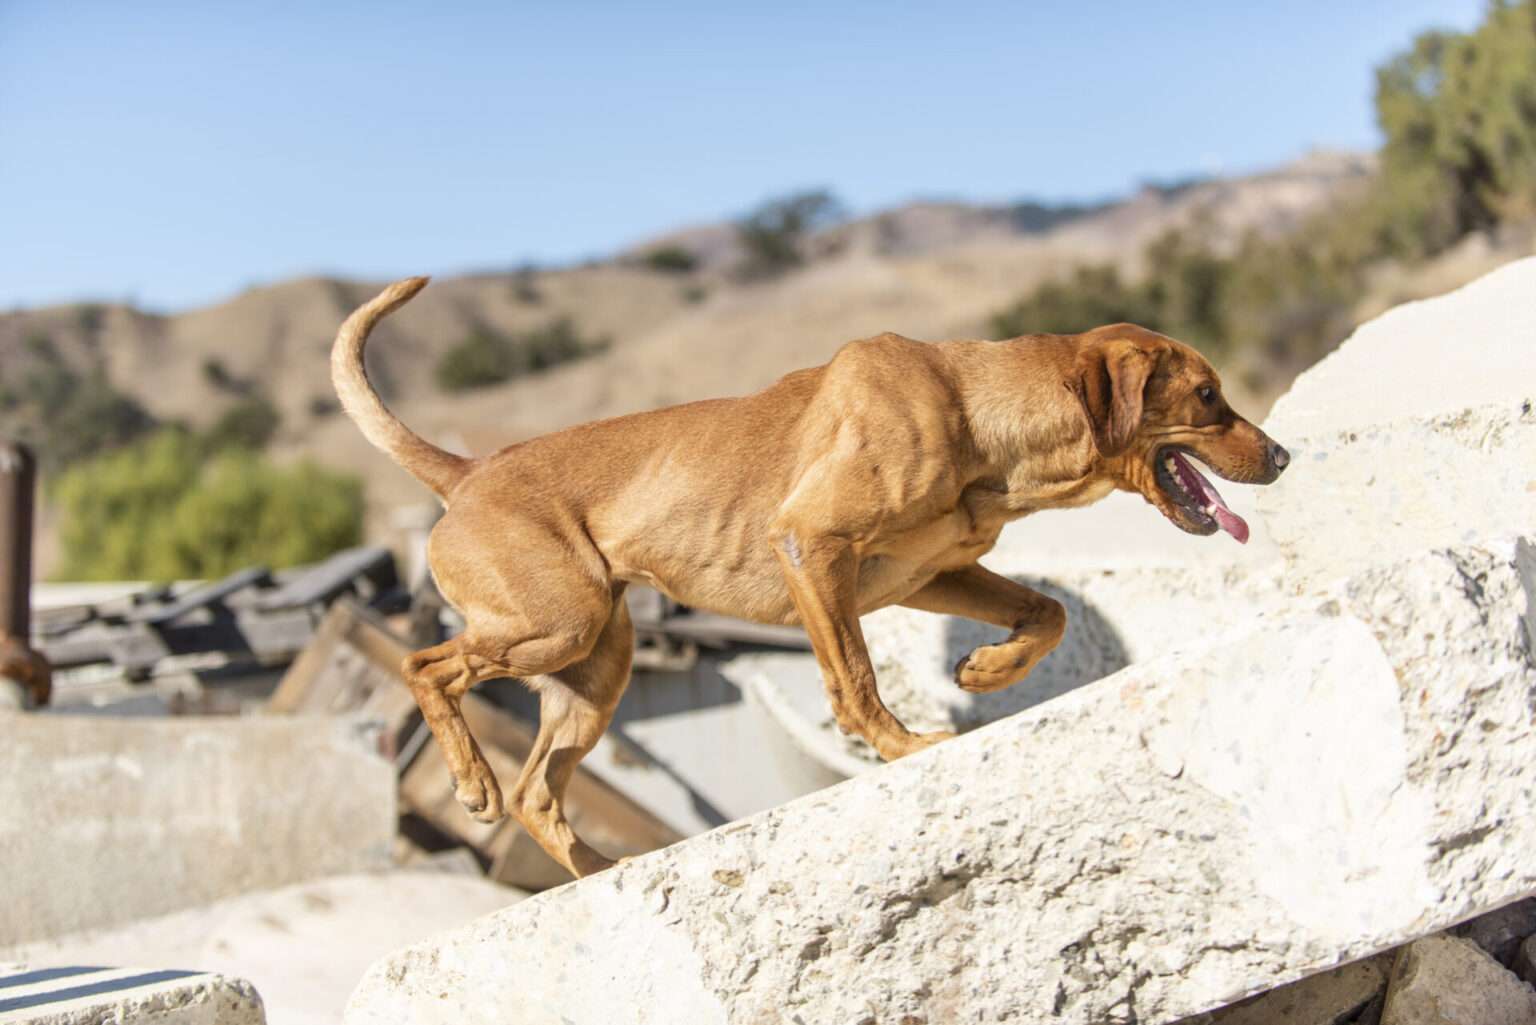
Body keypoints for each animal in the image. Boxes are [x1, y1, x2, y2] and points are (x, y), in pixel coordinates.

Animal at [333, 276, 1284, 879]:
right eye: (1208, 397)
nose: (1281, 455)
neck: (975, 411)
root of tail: (467, 472)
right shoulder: (813, 546)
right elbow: (855, 680)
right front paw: (907, 747)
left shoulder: (926, 573)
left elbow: (1044, 611)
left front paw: (983, 670)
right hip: (555, 623)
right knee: (427, 668)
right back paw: (472, 781)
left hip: (593, 668)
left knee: (538, 791)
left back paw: (600, 867)